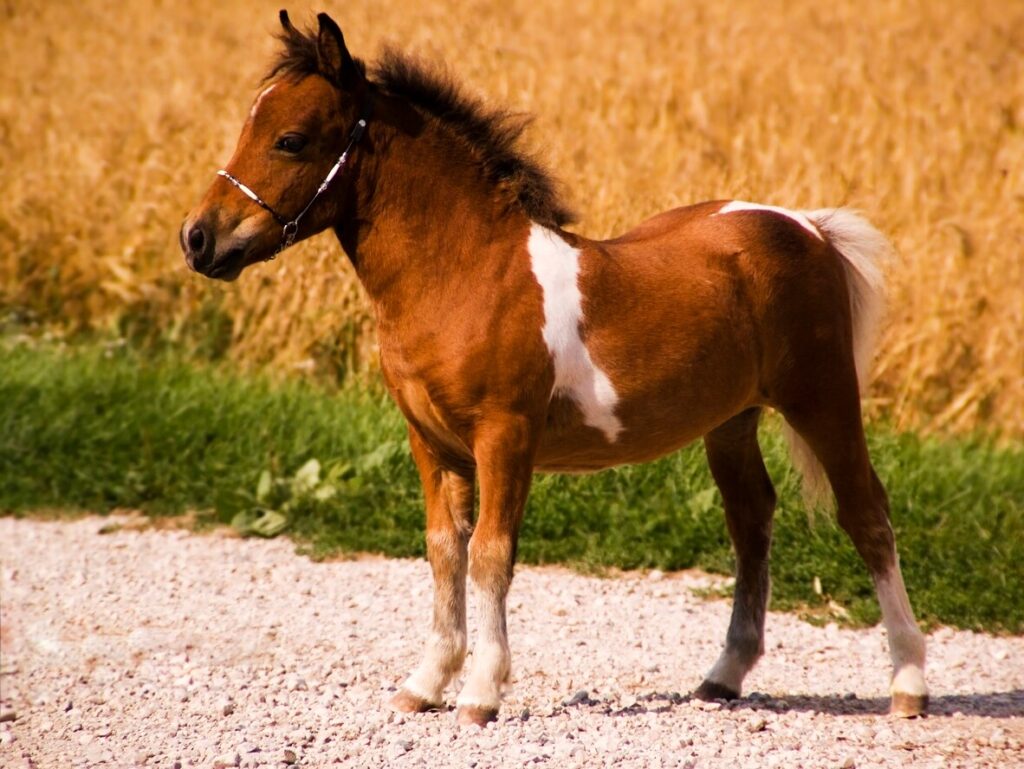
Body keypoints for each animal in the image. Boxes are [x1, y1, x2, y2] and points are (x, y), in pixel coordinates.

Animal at [181, 10, 928, 726]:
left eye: (291, 139)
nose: (198, 240)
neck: (467, 274)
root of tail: (809, 227)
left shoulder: (505, 436)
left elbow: (490, 554)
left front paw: (481, 693)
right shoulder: (432, 444)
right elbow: (443, 551)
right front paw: (424, 685)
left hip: (823, 399)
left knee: (867, 515)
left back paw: (908, 685)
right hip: (732, 421)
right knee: (751, 521)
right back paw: (723, 677)